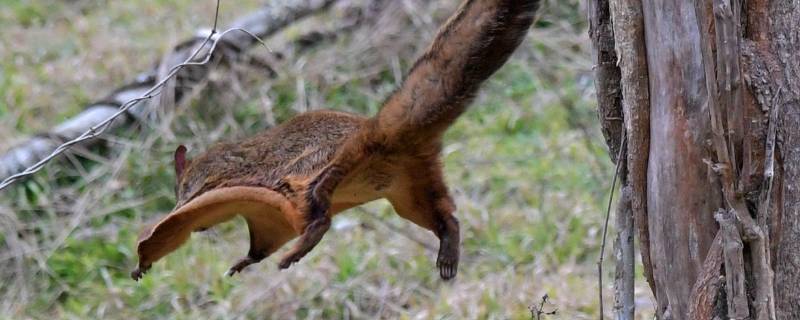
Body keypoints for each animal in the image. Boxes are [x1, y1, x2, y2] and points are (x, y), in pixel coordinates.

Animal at [133, 0, 544, 280]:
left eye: (181, 185)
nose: (196, 221)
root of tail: (379, 131)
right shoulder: (264, 220)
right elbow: (259, 242)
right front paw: (239, 261)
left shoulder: (214, 176)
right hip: (413, 188)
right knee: (447, 216)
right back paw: (448, 255)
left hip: (319, 171)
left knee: (320, 215)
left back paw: (300, 248)